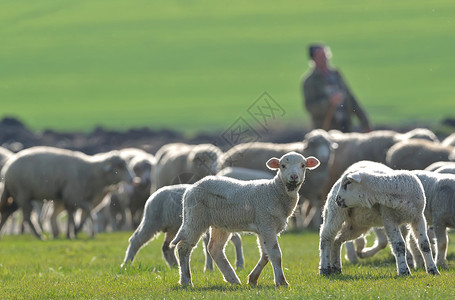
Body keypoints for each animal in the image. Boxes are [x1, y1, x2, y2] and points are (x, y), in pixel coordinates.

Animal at [0, 146, 133, 239]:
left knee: (6, 213)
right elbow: (86, 210)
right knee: (26, 217)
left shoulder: (71, 199)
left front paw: (71, 233)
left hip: (15, 196)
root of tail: (7, 168)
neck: (92, 172)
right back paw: (39, 235)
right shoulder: (74, 196)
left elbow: (72, 215)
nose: (132, 179)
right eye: (119, 166)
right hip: (22, 194)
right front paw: (79, 231)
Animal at [168, 152, 320, 286]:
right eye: (282, 165)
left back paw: (233, 279)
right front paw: (281, 282)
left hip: (220, 224)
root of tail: (191, 188)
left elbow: (266, 255)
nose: (294, 176)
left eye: (303, 165)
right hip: (196, 217)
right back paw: (186, 281)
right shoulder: (267, 223)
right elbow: (275, 254)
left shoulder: (263, 227)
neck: (274, 191)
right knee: (183, 247)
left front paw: (253, 279)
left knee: (214, 248)